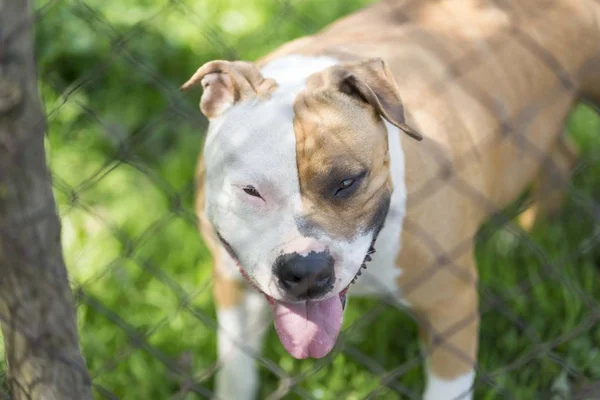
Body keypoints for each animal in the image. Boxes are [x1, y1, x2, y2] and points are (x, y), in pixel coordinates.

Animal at [182, 1, 600, 398]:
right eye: (251, 191)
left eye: (347, 182)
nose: (307, 271)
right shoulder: (232, 288)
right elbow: (237, 375)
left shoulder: (451, 307)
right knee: (561, 156)